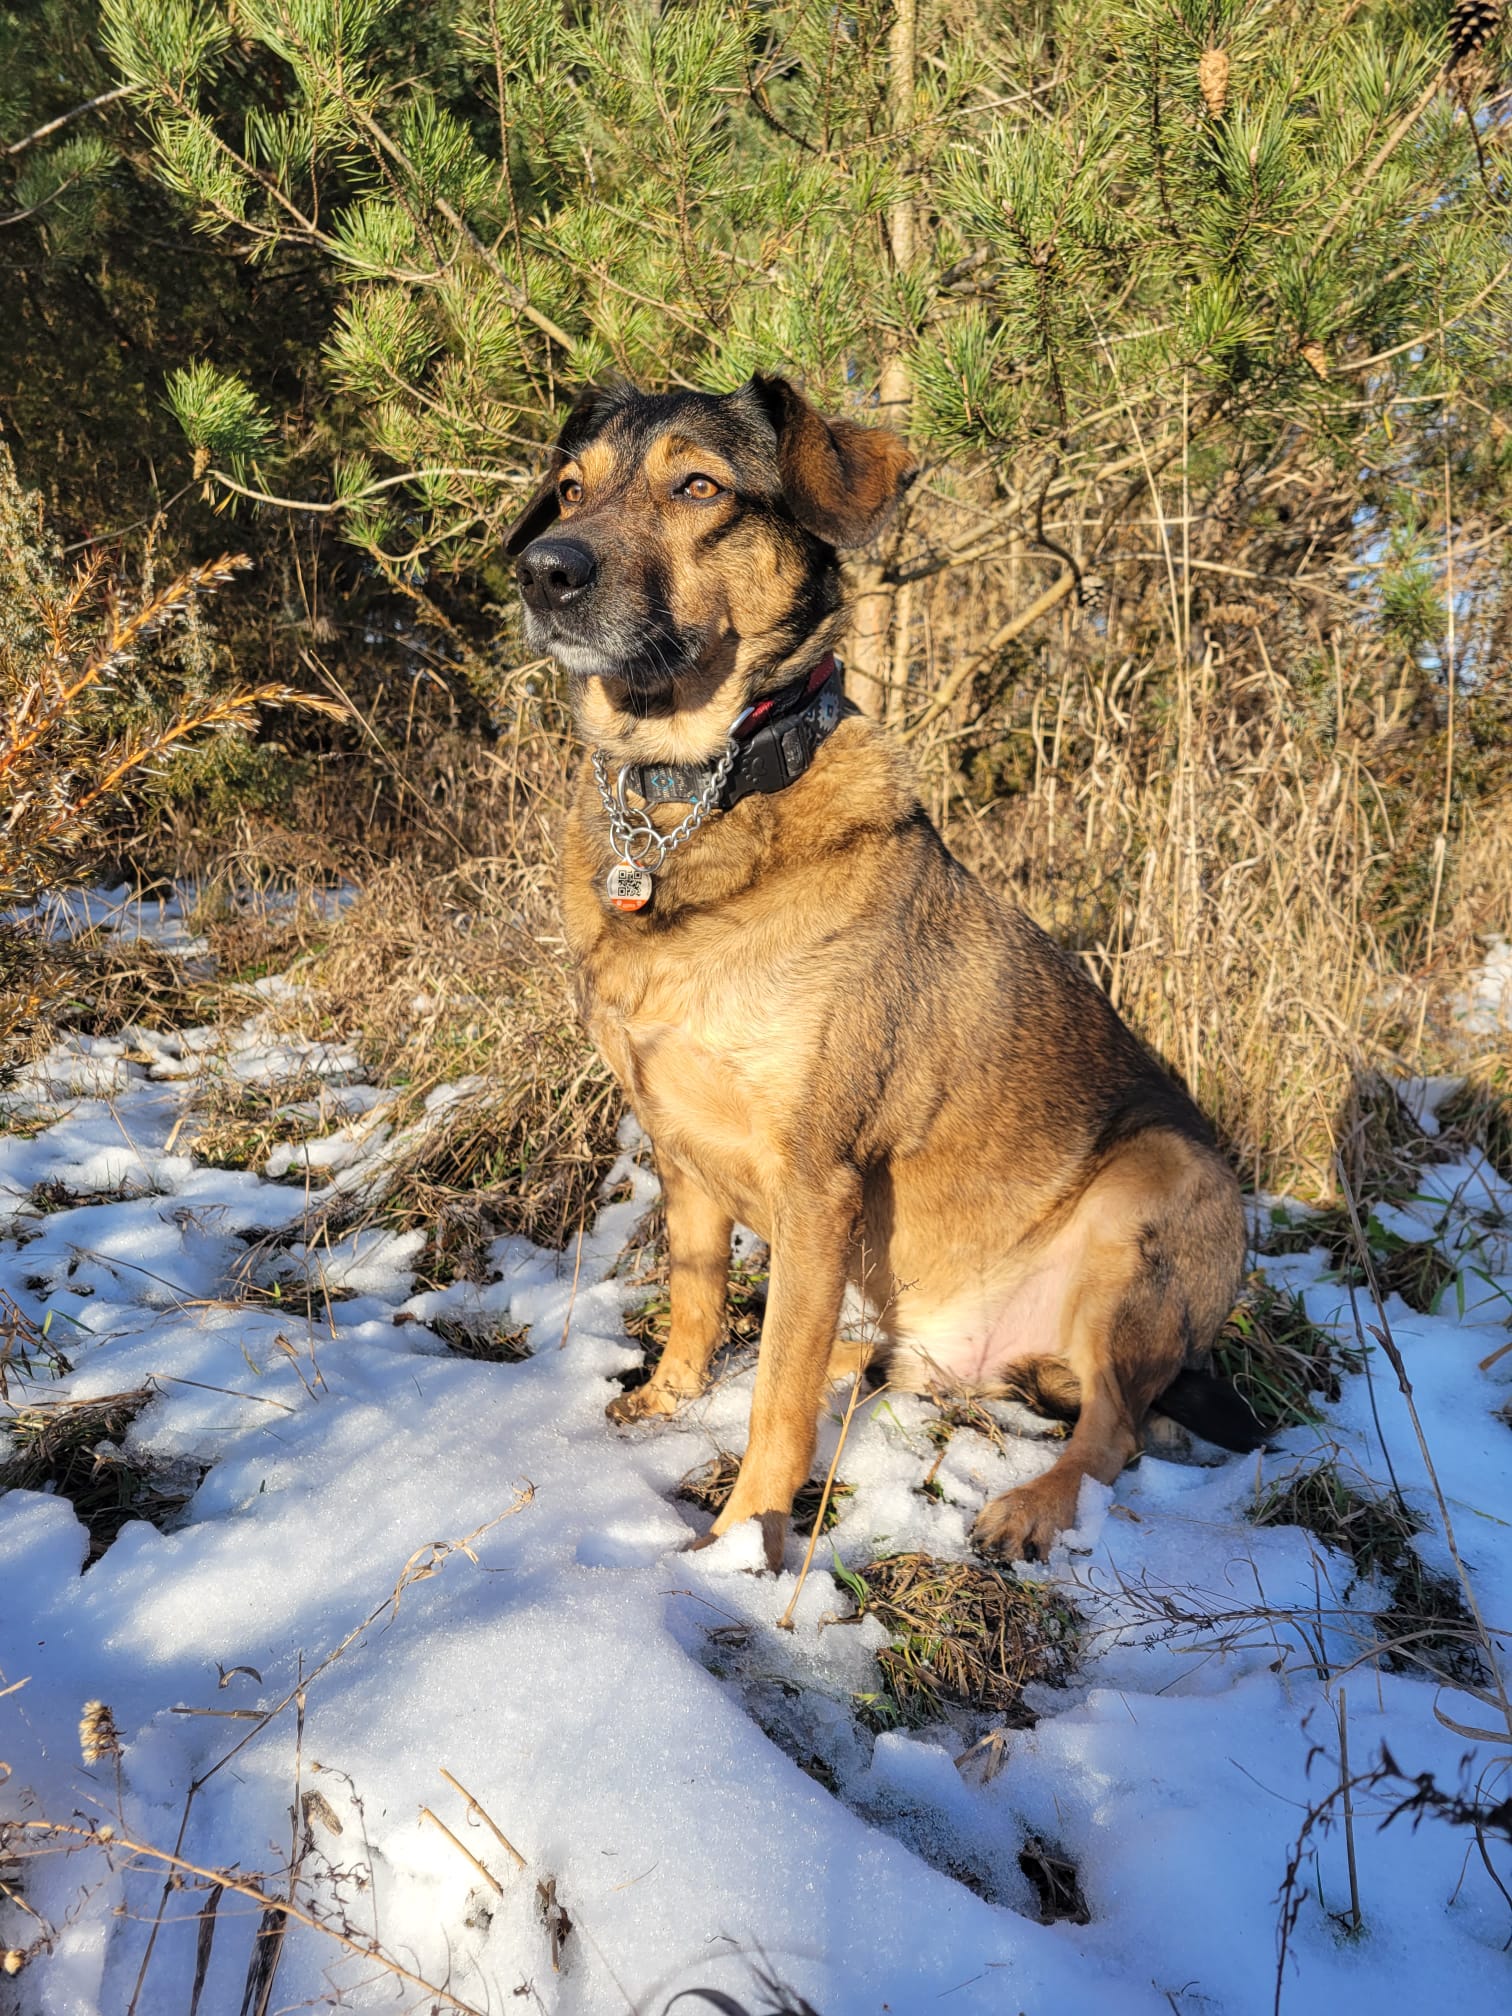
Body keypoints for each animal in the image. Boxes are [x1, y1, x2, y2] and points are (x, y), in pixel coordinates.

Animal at [509, 374, 1259, 1570]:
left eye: (699, 488)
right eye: (570, 490)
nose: (543, 572)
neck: (691, 798)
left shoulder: (818, 1179)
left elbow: (775, 1398)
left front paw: (743, 1542)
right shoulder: (677, 1143)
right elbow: (698, 1298)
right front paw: (671, 1398)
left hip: (1161, 1187)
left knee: (1114, 1432)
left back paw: (1029, 1506)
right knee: (901, 1366)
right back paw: (860, 1366)